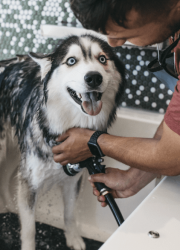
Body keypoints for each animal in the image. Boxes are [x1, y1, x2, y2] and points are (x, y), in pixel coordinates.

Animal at [0, 34, 126, 250]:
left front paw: (73, 238)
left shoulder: (73, 179)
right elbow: (29, 229)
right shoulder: (29, 182)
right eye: (71, 60)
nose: (94, 77)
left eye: (102, 59)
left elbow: (70, 214)